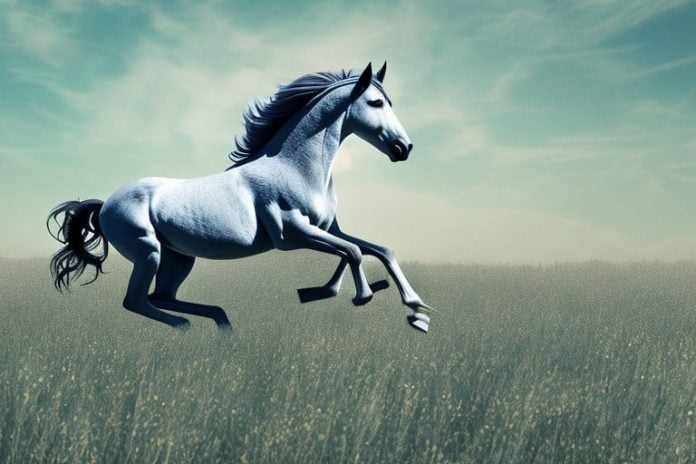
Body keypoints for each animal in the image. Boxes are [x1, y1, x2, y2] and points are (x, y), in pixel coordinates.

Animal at [47, 62, 433, 333]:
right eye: (376, 102)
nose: (405, 148)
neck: (294, 167)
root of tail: (104, 205)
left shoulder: (327, 229)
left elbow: (377, 250)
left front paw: (416, 308)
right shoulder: (292, 235)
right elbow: (353, 252)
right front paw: (356, 295)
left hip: (178, 257)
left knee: (161, 296)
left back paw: (221, 323)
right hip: (148, 252)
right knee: (136, 301)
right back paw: (190, 328)